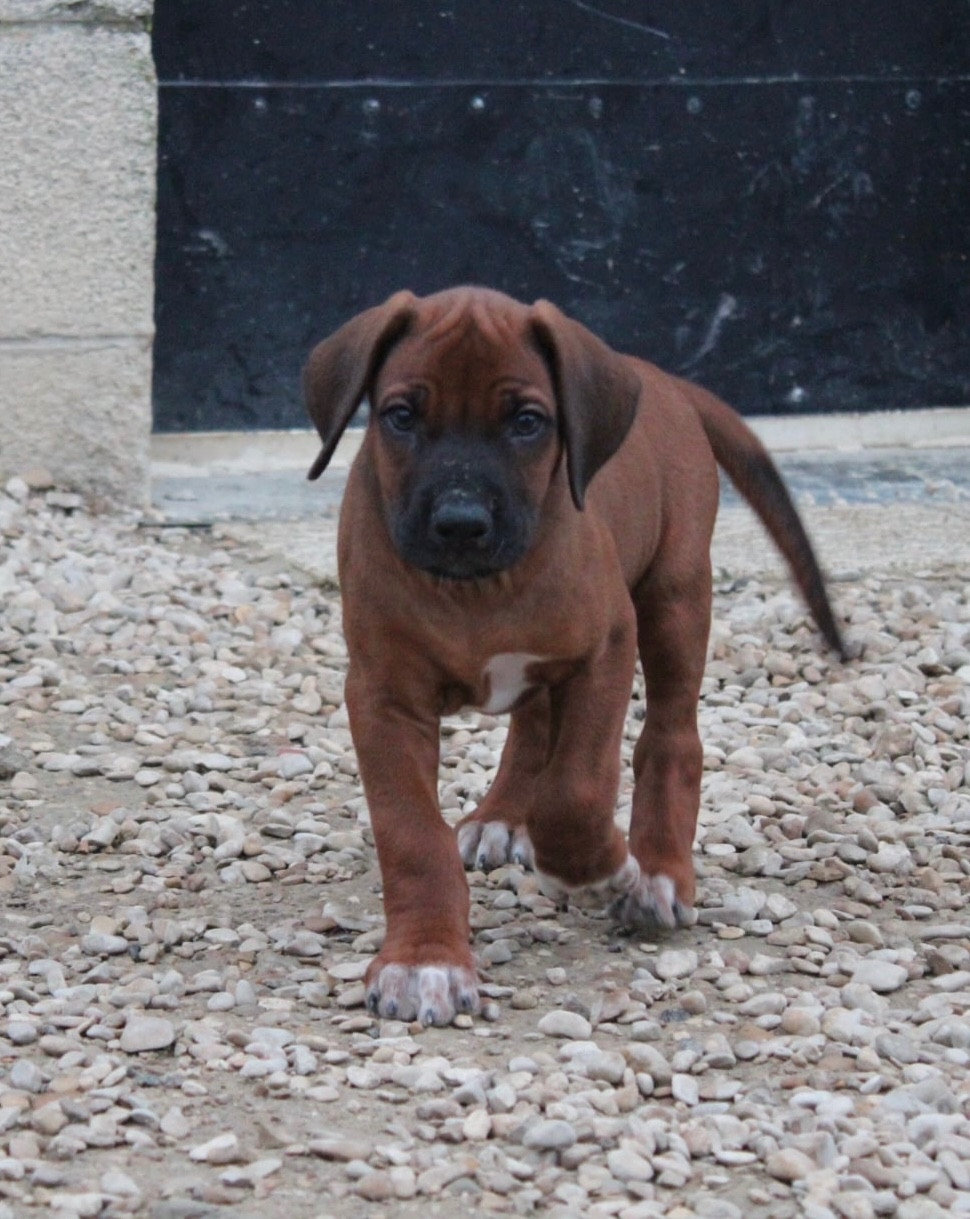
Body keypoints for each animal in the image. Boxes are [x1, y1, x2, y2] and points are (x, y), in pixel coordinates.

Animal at [304, 286, 846, 1026]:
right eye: (402, 416)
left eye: (528, 422)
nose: (461, 523)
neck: (476, 589)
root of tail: (661, 378)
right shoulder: (383, 696)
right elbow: (410, 832)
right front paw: (425, 959)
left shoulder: (605, 649)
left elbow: (576, 789)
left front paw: (602, 870)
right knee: (533, 725)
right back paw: (501, 816)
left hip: (676, 597)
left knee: (671, 738)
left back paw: (660, 873)